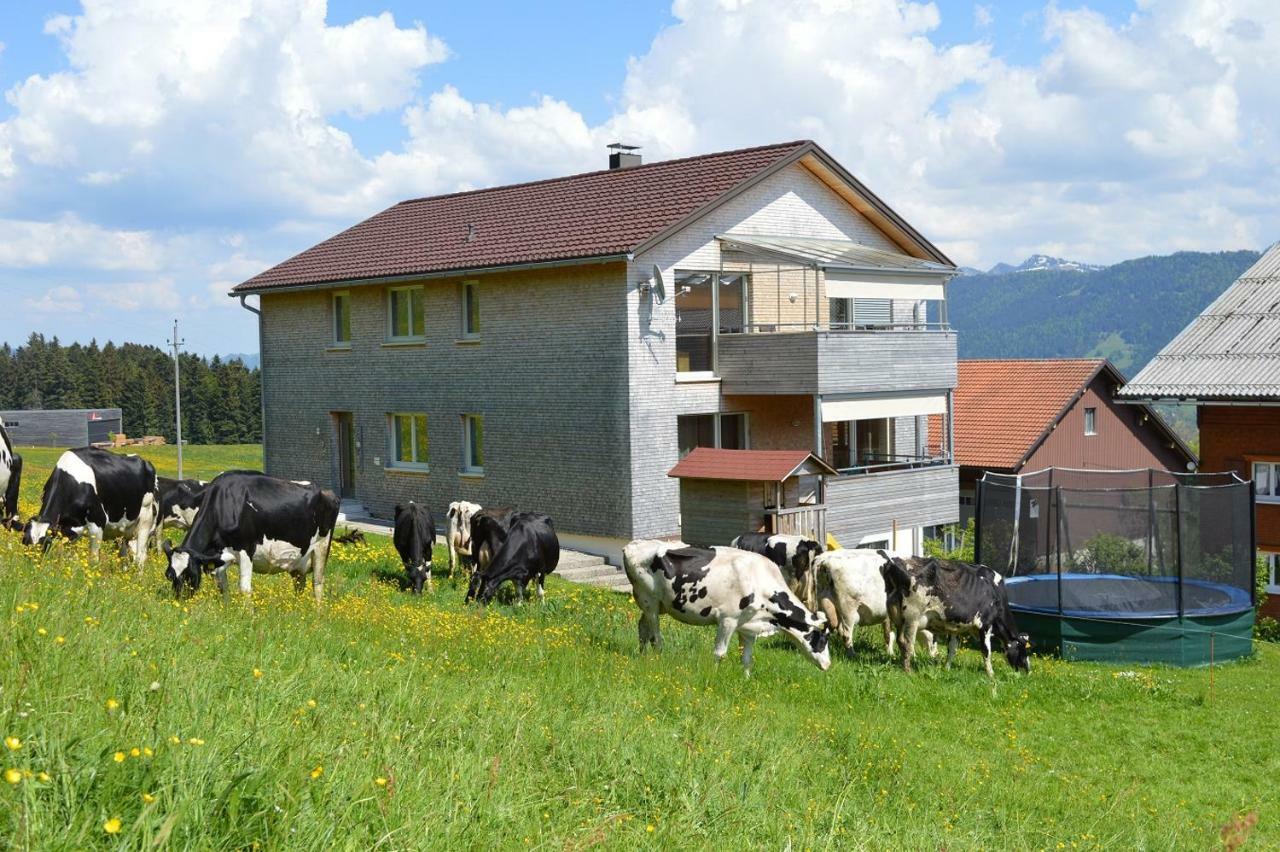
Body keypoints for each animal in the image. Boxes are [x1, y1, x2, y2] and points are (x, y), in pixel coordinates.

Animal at [20, 445, 157, 570]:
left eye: (45, 543)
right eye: (24, 541)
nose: (31, 566)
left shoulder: (98, 522)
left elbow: (93, 560)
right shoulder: (68, 530)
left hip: (145, 518)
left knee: (140, 556)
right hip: (125, 529)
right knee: (125, 554)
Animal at [161, 468, 340, 601]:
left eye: (188, 574)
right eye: (169, 575)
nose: (179, 601)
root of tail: (326, 491)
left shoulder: (246, 549)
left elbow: (245, 589)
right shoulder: (218, 558)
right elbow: (221, 586)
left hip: (321, 548)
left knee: (317, 583)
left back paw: (317, 614)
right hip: (298, 560)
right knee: (299, 584)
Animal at [619, 539, 829, 675]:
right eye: (822, 640)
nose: (828, 665)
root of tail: (632, 545)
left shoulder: (749, 626)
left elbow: (746, 659)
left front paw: (746, 680)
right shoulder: (728, 620)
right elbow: (719, 654)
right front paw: (714, 677)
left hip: (656, 604)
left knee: (642, 628)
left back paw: (644, 656)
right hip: (650, 602)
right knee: (656, 636)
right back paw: (658, 659)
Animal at [880, 550, 1029, 675]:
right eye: (1023, 650)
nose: (1028, 671)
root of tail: (892, 563)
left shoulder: (954, 626)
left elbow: (952, 649)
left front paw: (947, 668)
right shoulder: (985, 625)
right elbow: (986, 651)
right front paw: (991, 675)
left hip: (897, 617)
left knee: (899, 640)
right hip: (912, 617)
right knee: (908, 643)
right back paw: (908, 671)